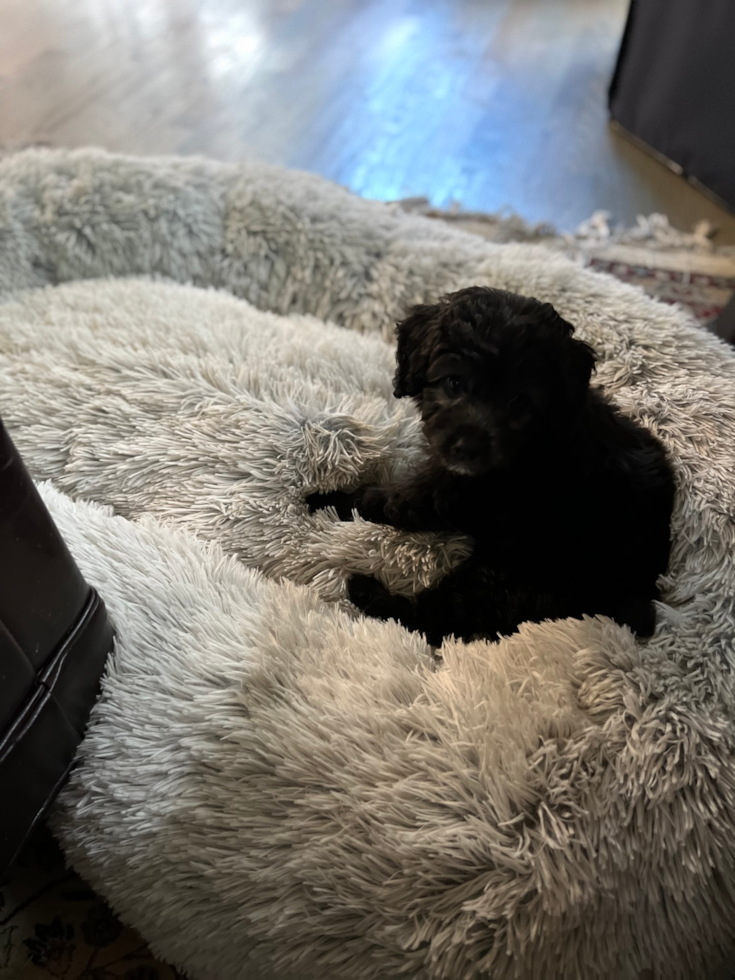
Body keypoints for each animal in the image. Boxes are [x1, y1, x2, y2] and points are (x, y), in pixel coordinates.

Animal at [308, 288, 676, 648]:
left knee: (441, 620)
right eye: (453, 382)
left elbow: (388, 500)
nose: (468, 448)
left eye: (518, 400)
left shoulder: (453, 490)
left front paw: (326, 501)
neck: (536, 437)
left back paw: (369, 594)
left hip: (510, 574)